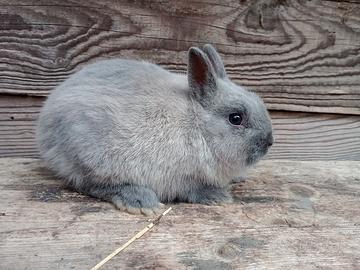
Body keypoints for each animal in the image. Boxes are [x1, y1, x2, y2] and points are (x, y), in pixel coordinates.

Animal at [36, 44, 272, 215]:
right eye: (236, 118)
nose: (269, 141)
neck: (197, 125)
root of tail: (45, 119)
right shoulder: (180, 175)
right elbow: (192, 189)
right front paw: (218, 197)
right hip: (93, 157)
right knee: (91, 185)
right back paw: (141, 201)